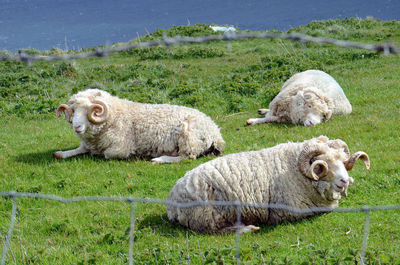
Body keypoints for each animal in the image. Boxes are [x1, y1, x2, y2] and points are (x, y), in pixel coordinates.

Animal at [52, 88, 225, 163]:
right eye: (73, 111)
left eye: (89, 110)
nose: (77, 127)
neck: (116, 115)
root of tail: (215, 131)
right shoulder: (89, 144)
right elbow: (77, 150)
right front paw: (61, 153)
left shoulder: (120, 148)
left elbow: (106, 154)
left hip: (189, 138)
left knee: (186, 157)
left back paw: (160, 159)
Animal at [166, 135, 368, 232]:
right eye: (323, 164)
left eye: (342, 160)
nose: (344, 181)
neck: (295, 169)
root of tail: (171, 202)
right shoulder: (289, 211)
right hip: (206, 216)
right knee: (214, 231)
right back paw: (247, 228)